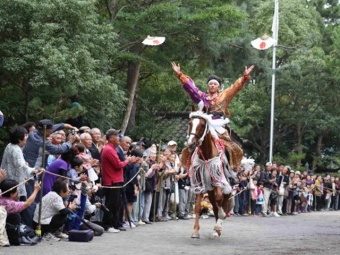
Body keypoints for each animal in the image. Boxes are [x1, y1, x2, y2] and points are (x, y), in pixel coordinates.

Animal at [182, 110, 235, 239]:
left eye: (202, 125)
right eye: (190, 123)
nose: (191, 143)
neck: (206, 155)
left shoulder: (218, 180)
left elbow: (220, 199)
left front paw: (220, 220)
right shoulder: (200, 182)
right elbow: (197, 207)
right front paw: (195, 231)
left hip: (225, 186)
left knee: (222, 202)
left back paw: (218, 226)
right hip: (210, 190)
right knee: (215, 206)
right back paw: (216, 230)